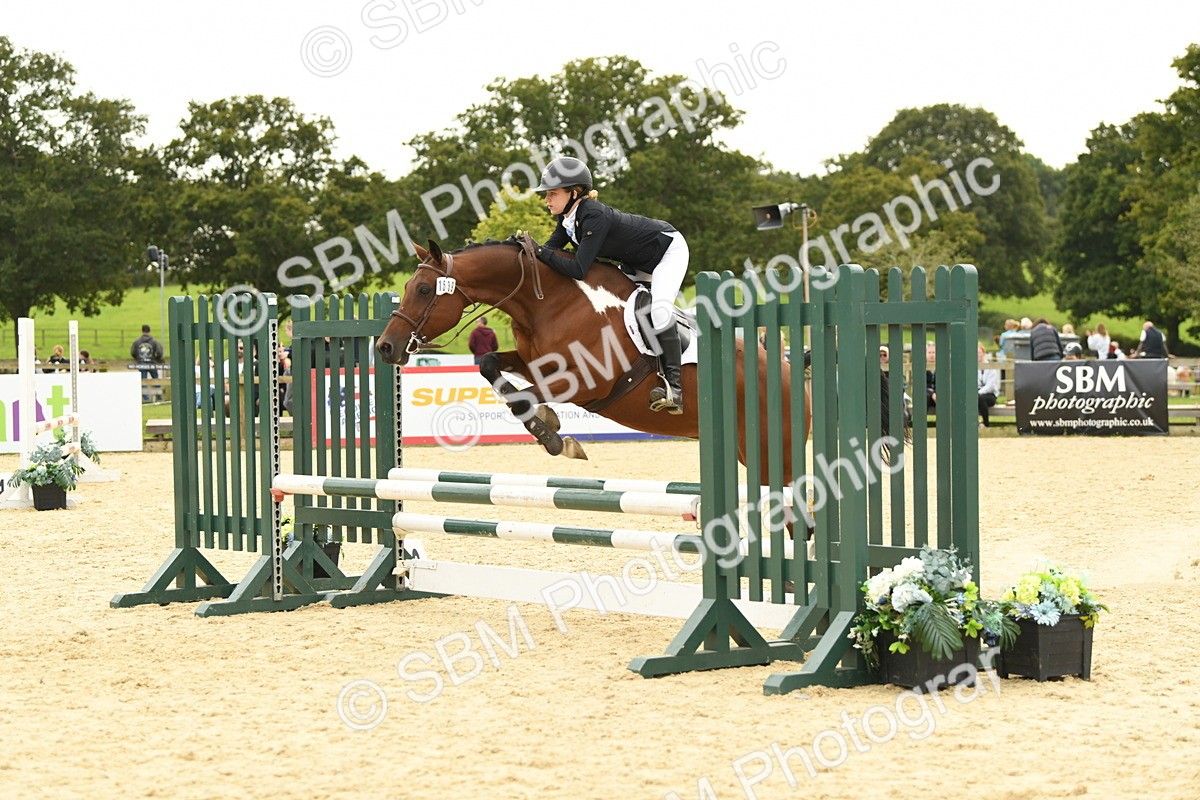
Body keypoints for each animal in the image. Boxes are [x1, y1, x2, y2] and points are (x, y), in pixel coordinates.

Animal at [375, 238, 808, 485]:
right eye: (408, 286)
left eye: (425, 289)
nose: (385, 347)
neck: (548, 301)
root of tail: (793, 376)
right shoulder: (535, 363)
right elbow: (490, 367)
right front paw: (551, 427)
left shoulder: (586, 382)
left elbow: (523, 397)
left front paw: (556, 439)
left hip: (775, 460)